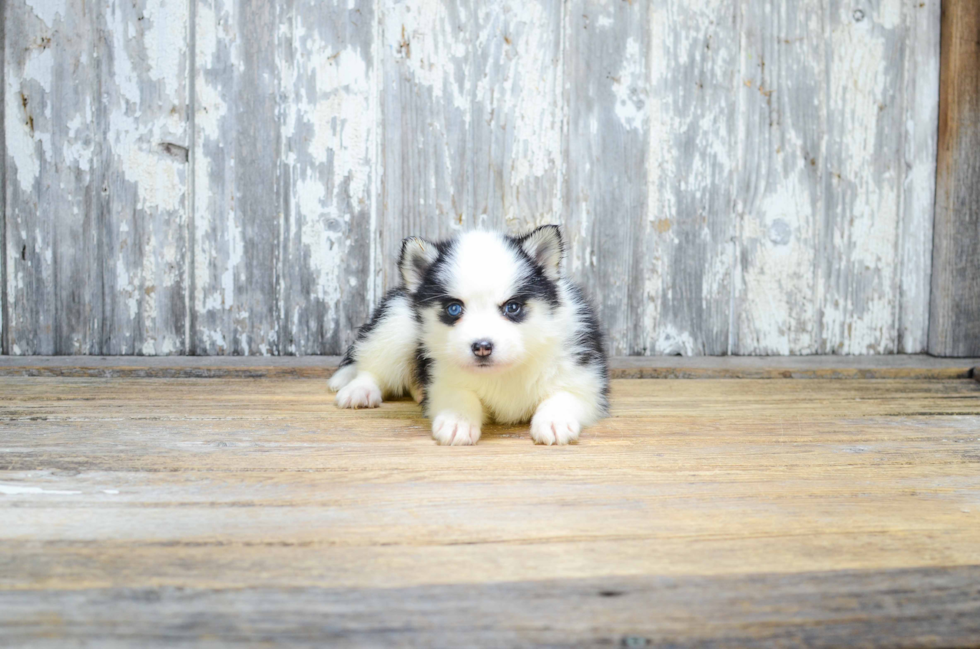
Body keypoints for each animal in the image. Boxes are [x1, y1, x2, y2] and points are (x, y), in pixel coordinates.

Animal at [328, 225, 604, 442]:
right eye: (454, 308)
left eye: (512, 307)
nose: (482, 346)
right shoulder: (441, 377)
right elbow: (459, 394)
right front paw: (457, 420)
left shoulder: (584, 376)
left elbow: (564, 395)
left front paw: (554, 420)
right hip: (396, 322)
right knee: (373, 366)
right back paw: (360, 389)